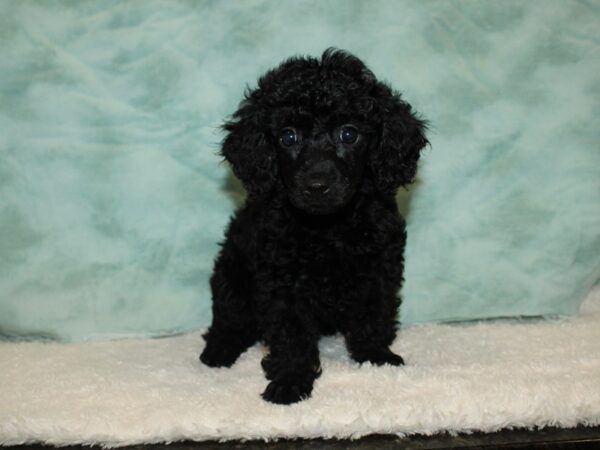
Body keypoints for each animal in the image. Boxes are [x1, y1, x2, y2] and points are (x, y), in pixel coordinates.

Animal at [202, 48, 426, 404]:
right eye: (288, 136)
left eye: (349, 134)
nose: (317, 185)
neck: (327, 227)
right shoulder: (281, 281)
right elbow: (290, 334)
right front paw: (290, 381)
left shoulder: (380, 266)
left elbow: (374, 314)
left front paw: (375, 357)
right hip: (230, 273)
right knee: (230, 318)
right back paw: (218, 351)